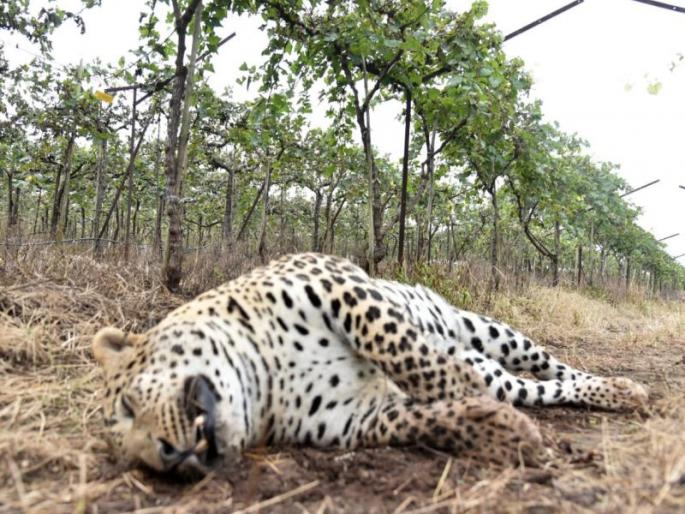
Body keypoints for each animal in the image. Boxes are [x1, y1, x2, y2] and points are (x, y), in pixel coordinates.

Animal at [92, 253, 648, 477]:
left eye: (128, 405)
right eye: (130, 453)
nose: (164, 457)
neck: (266, 374)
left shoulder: (339, 285)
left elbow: (398, 346)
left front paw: (458, 382)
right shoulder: (355, 418)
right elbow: (431, 419)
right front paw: (504, 432)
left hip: (491, 330)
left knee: (553, 366)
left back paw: (625, 389)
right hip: (506, 375)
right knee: (534, 389)